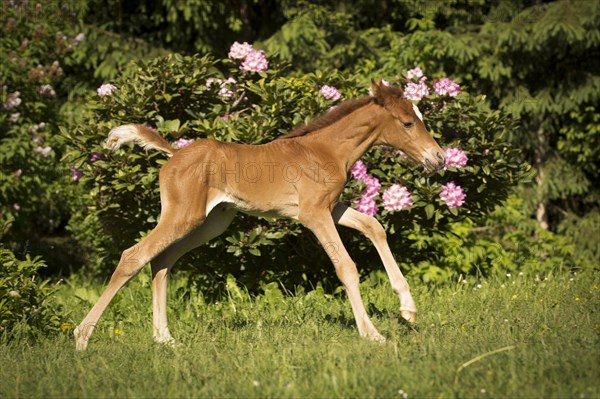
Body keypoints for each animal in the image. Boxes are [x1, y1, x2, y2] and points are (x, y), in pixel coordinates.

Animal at [74, 80, 446, 350]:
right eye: (408, 123)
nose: (439, 158)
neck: (326, 150)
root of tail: (174, 155)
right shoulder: (313, 214)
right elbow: (346, 266)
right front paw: (372, 333)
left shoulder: (331, 207)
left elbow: (374, 225)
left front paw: (408, 308)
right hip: (184, 217)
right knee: (133, 256)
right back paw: (82, 337)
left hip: (210, 222)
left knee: (161, 261)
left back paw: (164, 338)